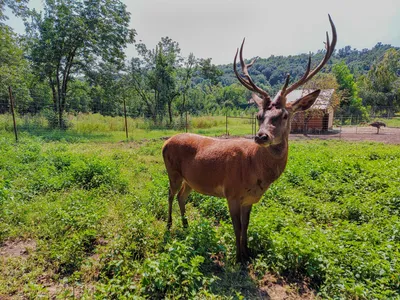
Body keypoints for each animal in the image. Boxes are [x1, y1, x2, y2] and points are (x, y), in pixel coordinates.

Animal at [161, 15, 336, 262]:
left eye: (284, 115)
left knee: (182, 197)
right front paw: (238, 257)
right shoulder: (231, 192)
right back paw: (169, 226)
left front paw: (248, 253)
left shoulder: (249, 199)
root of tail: (165, 142)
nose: (261, 136)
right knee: (170, 194)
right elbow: (236, 227)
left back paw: (186, 227)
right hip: (172, 171)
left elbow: (246, 226)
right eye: (259, 115)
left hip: (190, 179)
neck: (256, 172)